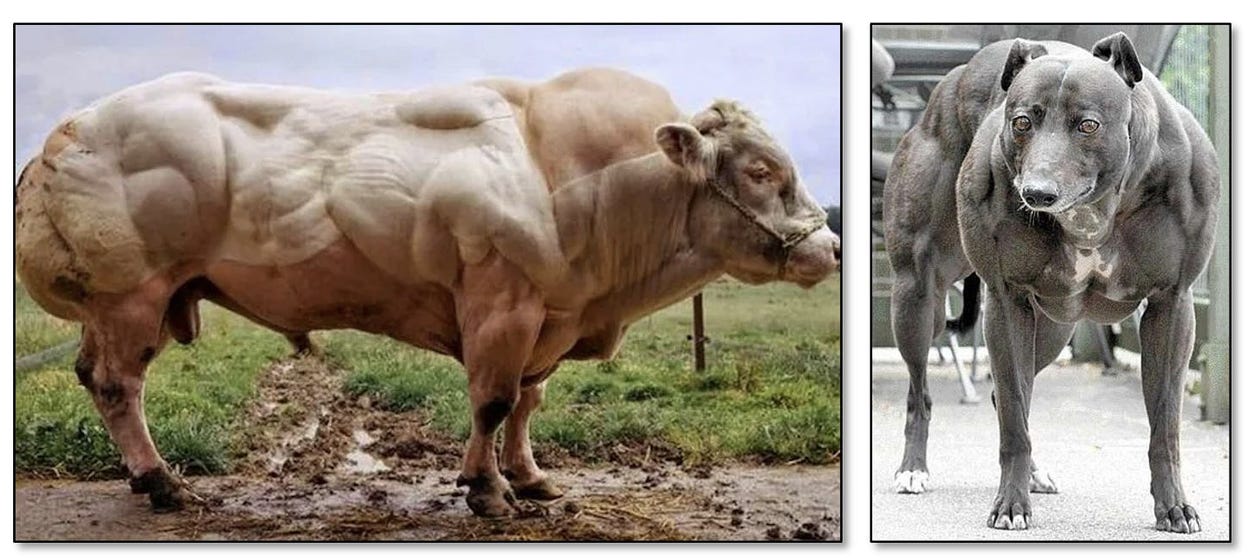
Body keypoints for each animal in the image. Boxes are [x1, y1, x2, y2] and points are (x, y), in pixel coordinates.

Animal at [16, 68, 839, 517]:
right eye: (761, 170)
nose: (830, 247)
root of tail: (69, 128)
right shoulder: (502, 306)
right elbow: (493, 401)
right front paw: (486, 489)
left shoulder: (548, 316)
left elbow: (528, 403)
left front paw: (529, 478)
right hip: (132, 294)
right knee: (119, 386)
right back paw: (161, 482)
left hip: (134, 304)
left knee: (93, 376)